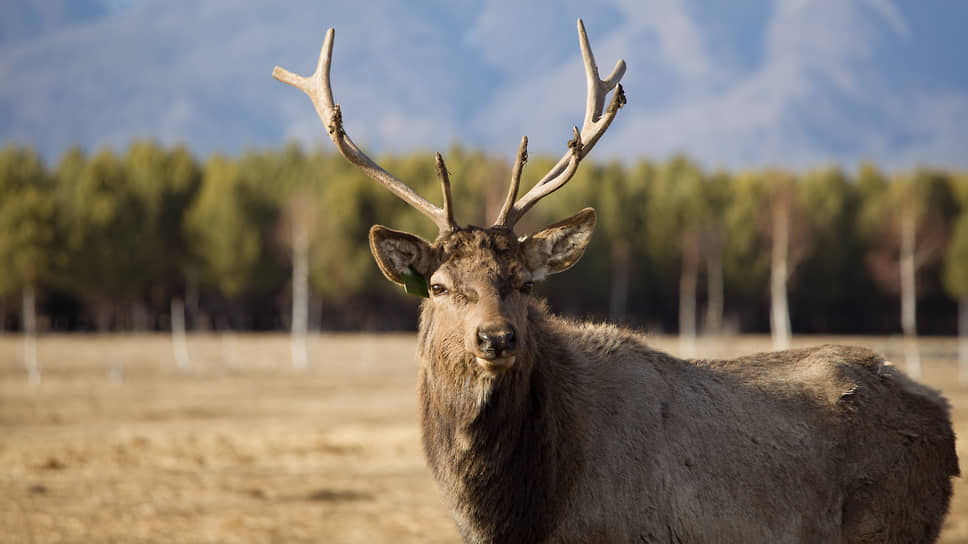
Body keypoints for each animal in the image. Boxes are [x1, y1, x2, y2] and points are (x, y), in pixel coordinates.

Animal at [274, 19, 960, 540]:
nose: (496, 339)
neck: (524, 516)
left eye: (525, 282)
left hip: (890, 524)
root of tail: (944, 418)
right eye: (439, 288)